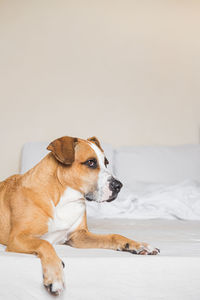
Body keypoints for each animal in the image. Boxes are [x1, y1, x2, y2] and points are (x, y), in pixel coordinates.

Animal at [0, 137, 160, 296]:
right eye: (91, 162)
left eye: (106, 162)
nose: (119, 186)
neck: (63, 200)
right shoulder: (16, 239)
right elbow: (44, 243)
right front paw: (55, 277)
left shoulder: (78, 236)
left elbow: (113, 236)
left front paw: (138, 245)